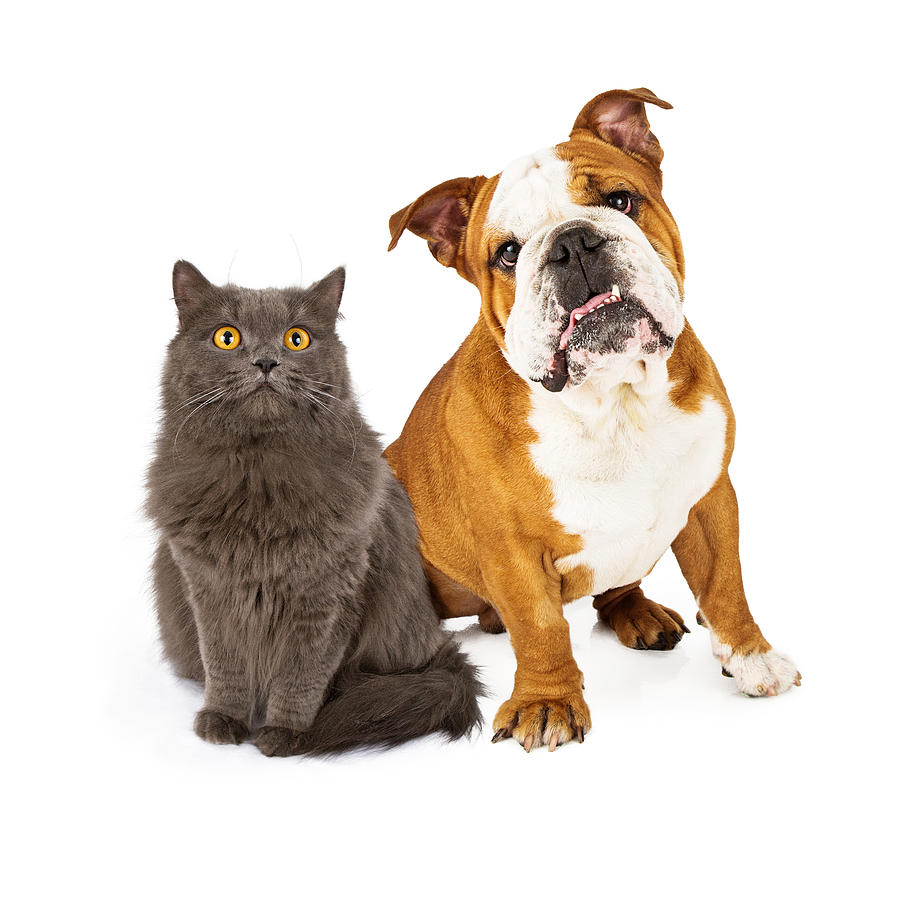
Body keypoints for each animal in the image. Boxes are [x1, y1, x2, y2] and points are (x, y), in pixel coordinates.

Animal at [147, 264, 482, 756]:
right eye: (227, 337)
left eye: (296, 338)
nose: (266, 362)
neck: (259, 478)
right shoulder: (210, 589)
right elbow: (225, 667)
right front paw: (223, 721)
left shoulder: (330, 592)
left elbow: (300, 675)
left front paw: (284, 734)